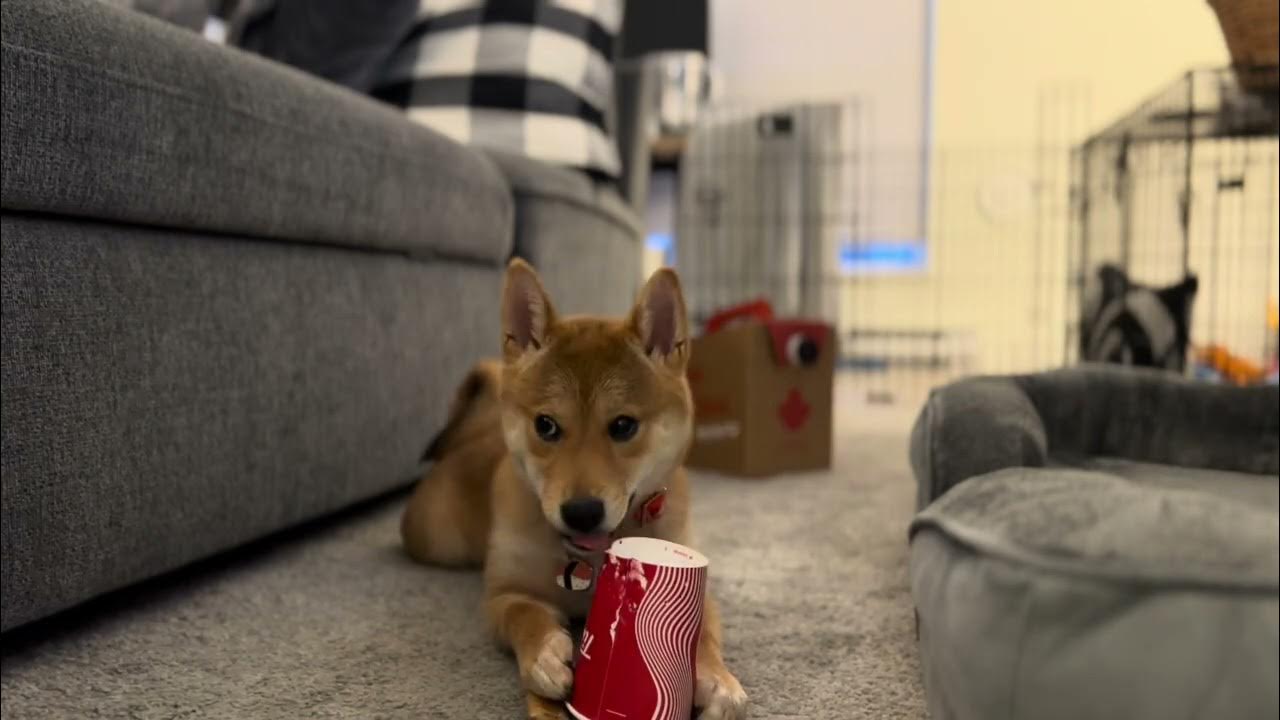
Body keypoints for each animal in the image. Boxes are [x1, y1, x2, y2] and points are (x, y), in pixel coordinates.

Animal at [401, 258, 747, 717]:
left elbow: (703, 632)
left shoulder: (700, 590)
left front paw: (717, 679)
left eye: (624, 426)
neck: (593, 563)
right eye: (546, 425)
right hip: (435, 541)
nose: (582, 512)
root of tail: (474, 436)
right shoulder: (505, 593)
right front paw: (546, 653)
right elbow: (524, 616)